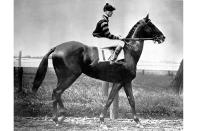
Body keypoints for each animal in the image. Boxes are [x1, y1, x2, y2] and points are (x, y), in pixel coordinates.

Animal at [31, 14, 165, 126]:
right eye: (151, 25)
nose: (163, 37)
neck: (129, 54)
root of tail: (57, 47)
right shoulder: (125, 81)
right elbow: (130, 100)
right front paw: (138, 122)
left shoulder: (119, 82)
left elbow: (111, 99)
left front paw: (102, 120)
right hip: (71, 76)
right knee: (57, 92)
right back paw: (59, 118)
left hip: (62, 77)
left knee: (56, 93)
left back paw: (59, 118)